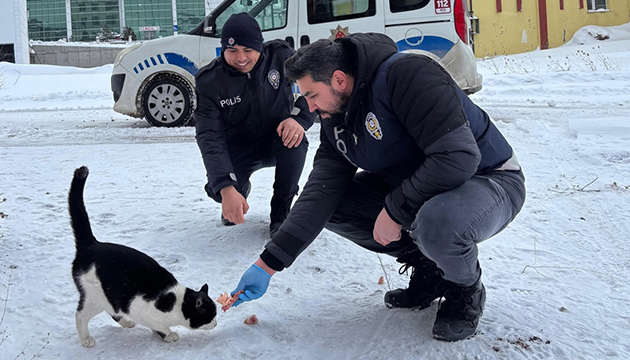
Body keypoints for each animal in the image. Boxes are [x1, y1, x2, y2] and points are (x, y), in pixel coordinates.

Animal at [68, 167, 217, 348]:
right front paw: (169, 335)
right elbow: (160, 326)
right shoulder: (141, 310)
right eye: (210, 315)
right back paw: (86, 339)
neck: (174, 301)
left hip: (107, 296)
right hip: (94, 295)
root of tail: (91, 244)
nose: (216, 323)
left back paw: (126, 322)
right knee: (80, 315)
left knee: (113, 310)